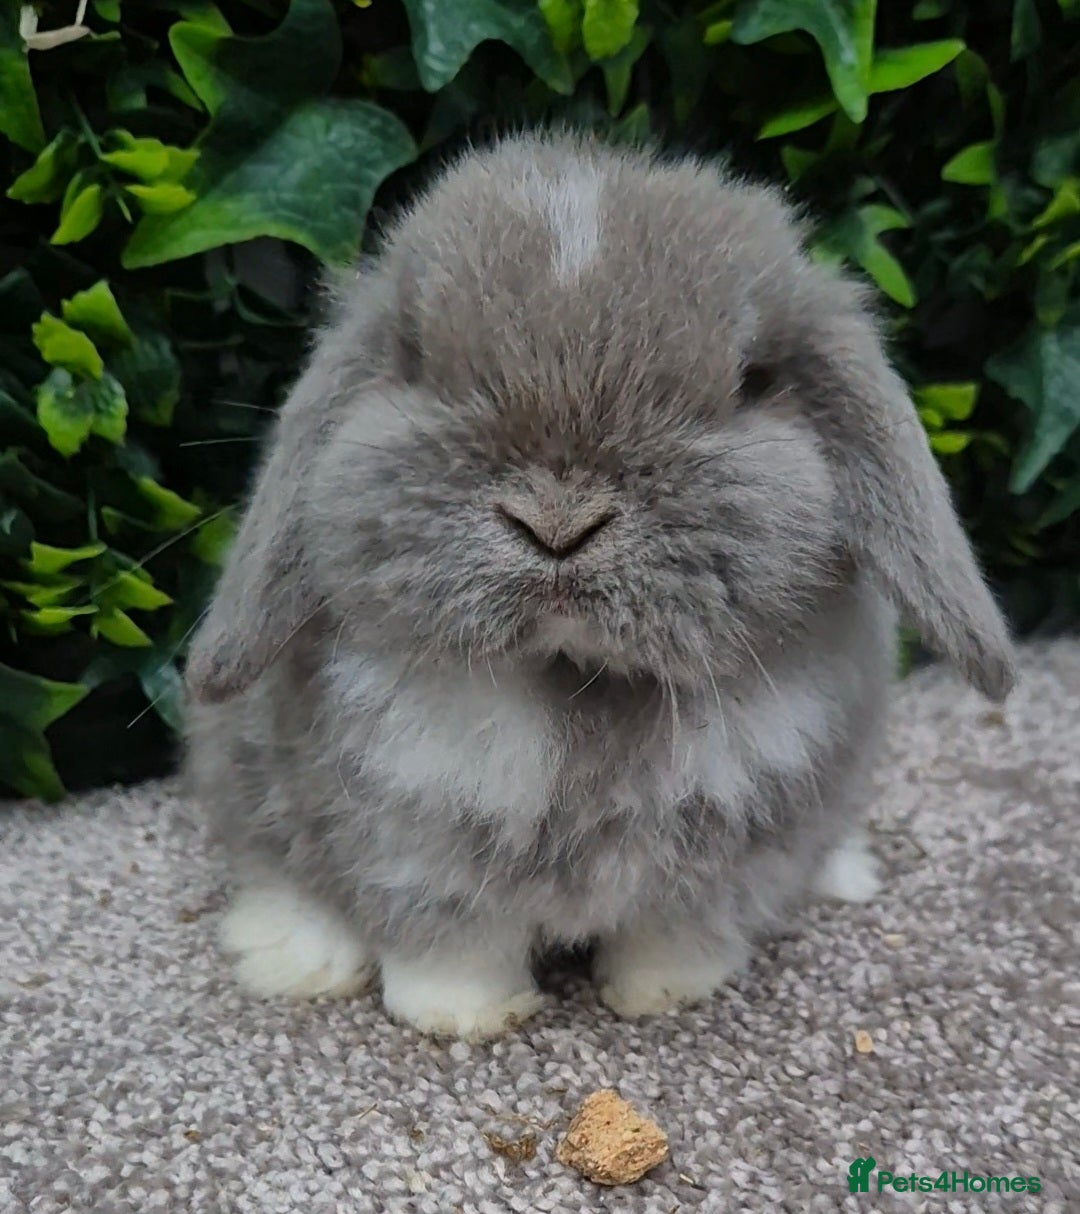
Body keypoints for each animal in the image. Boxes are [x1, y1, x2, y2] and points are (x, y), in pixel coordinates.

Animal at [184, 133, 1015, 1040]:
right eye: (414, 360)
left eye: (753, 379)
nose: (558, 522)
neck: (575, 683)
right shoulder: (408, 840)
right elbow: (448, 938)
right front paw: (463, 1017)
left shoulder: (731, 855)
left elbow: (678, 932)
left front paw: (661, 994)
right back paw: (291, 957)